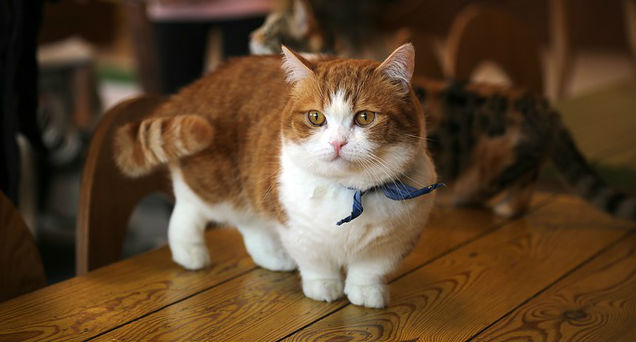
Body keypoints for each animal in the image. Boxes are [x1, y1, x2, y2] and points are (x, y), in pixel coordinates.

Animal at [113, 42, 438, 308]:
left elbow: (369, 269)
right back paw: (189, 252)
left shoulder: (394, 240)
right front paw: (323, 286)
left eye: (365, 117)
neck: (349, 190)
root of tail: (194, 87)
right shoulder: (296, 227)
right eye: (316, 117)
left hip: (252, 184)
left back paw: (271, 257)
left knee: (248, 222)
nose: (337, 143)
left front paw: (366, 292)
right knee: (188, 208)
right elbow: (316, 262)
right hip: (218, 183)